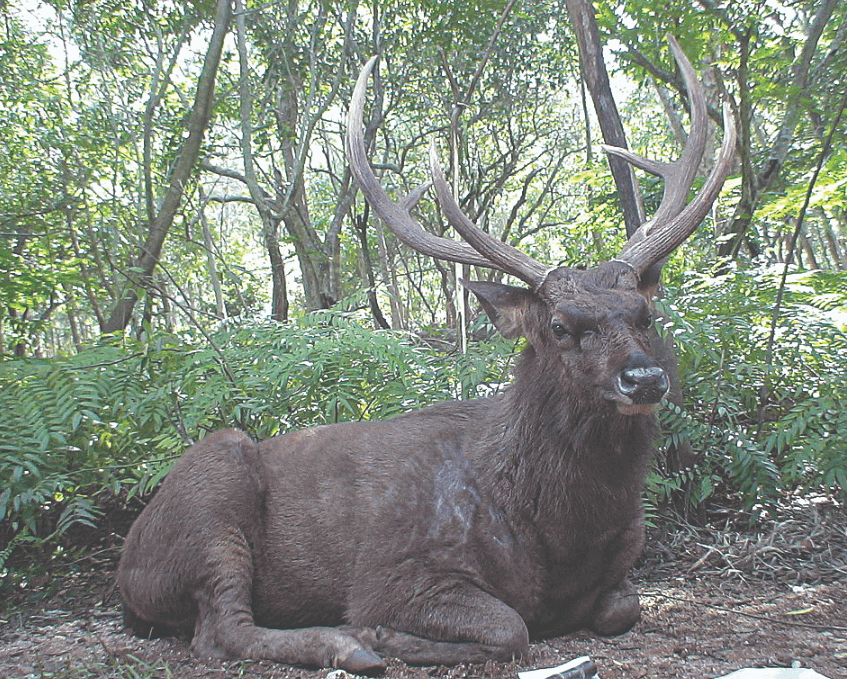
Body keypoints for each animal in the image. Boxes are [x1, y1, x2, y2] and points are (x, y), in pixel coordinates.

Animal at [117, 37, 736, 676]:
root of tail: (126, 570)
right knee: (219, 630)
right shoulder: (395, 570)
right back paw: (347, 644)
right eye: (559, 326)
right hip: (211, 491)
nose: (644, 378)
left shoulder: (620, 572)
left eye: (644, 314)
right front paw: (382, 634)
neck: (560, 535)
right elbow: (511, 626)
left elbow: (623, 609)